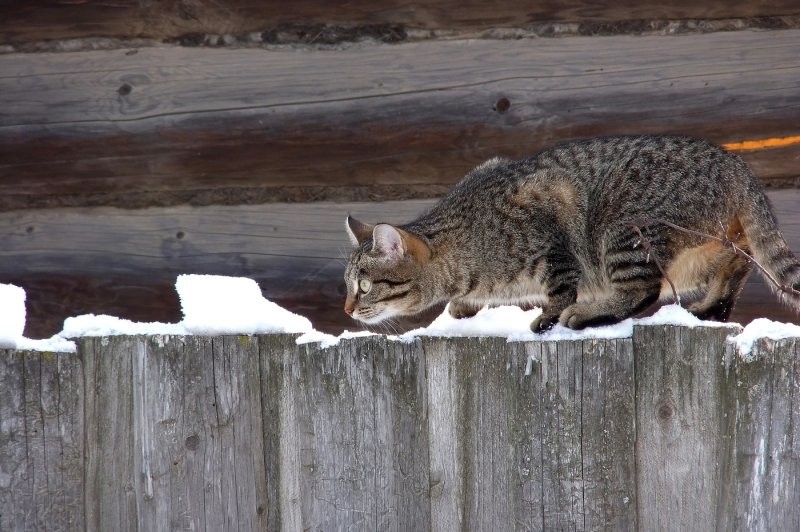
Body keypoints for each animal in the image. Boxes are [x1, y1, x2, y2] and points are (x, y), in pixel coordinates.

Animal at [340, 135, 796, 330]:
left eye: (364, 287)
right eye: (348, 286)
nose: (346, 309)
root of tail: (735, 163)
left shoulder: (550, 233)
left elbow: (560, 285)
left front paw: (550, 313)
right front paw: (464, 305)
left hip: (622, 228)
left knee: (641, 290)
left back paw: (588, 313)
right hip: (712, 248)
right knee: (734, 271)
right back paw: (707, 310)